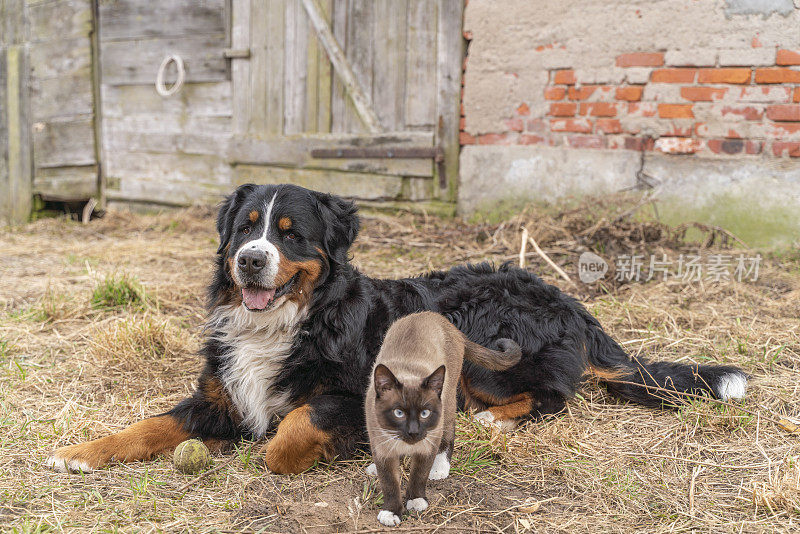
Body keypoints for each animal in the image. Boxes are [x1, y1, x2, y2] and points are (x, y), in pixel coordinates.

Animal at [48, 185, 752, 478]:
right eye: (246, 228)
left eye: (289, 234)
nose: (249, 260)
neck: (287, 321)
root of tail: (567, 299)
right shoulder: (218, 397)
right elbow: (149, 426)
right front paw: (82, 451)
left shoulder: (351, 396)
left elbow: (288, 435)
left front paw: (305, 449)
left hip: (481, 335)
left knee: (553, 397)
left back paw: (491, 419)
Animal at [366, 314, 520, 528]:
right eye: (398, 413)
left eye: (425, 413)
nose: (413, 432)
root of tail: (439, 318)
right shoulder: (382, 449)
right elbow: (389, 483)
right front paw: (391, 512)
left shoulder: (428, 444)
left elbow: (419, 475)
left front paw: (416, 501)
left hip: (447, 402)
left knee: (449, 434)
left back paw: (440, 469)